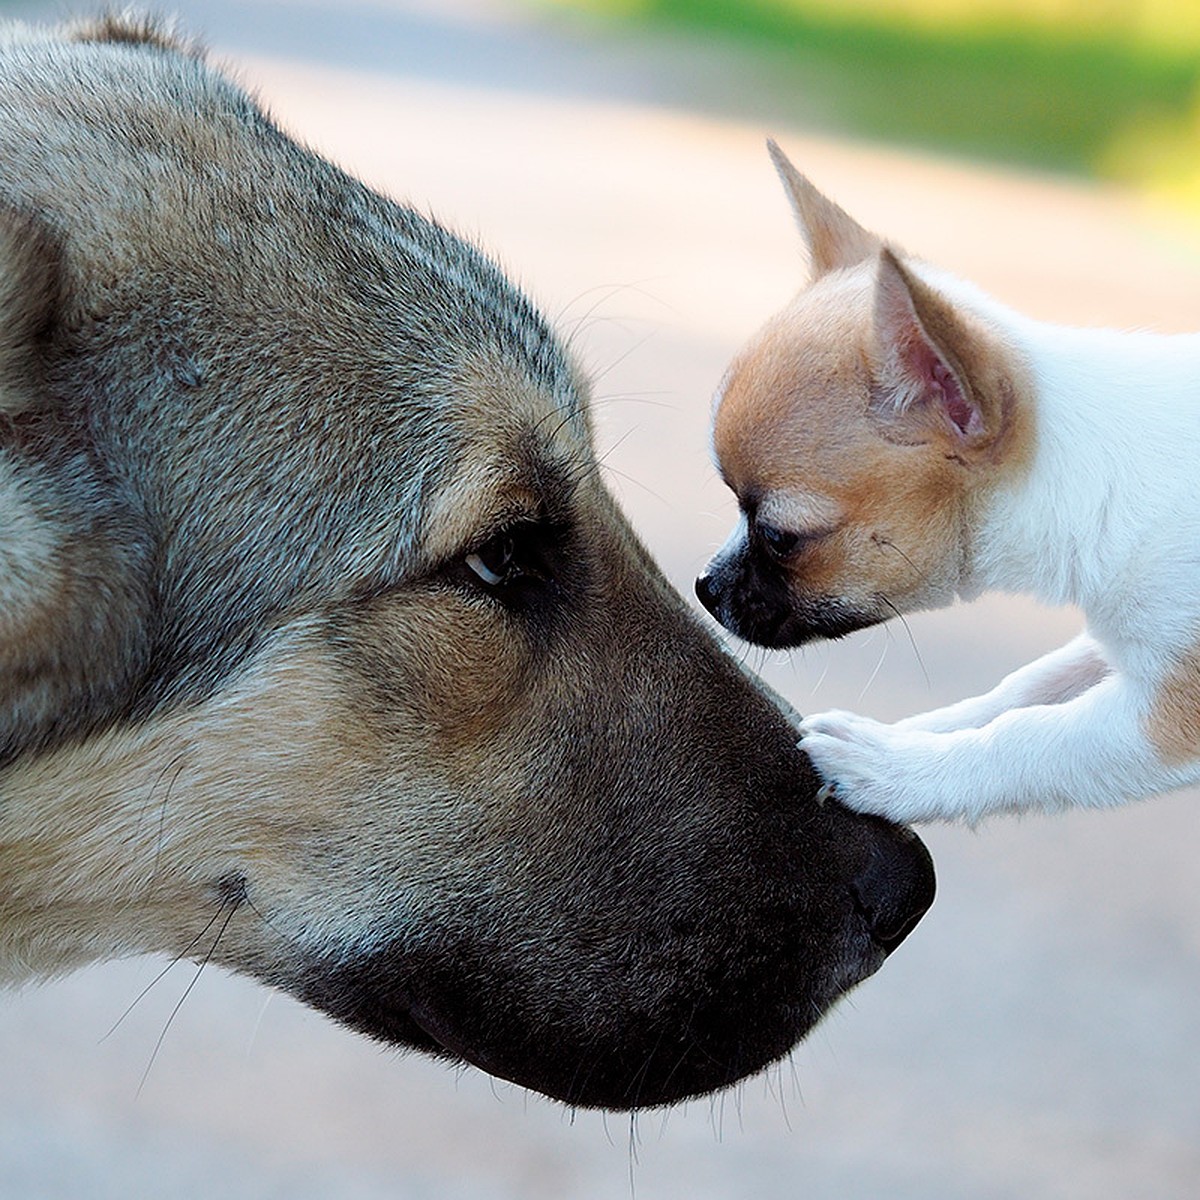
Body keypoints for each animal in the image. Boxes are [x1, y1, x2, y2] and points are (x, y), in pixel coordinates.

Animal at [696, 142, 1200, 825]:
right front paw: (910, 738)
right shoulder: (1120, 649)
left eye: (780, 537)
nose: (703, 587)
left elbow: (1030, 738)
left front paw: (897, 770)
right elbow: (1021, 690)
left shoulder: (1169, 711)